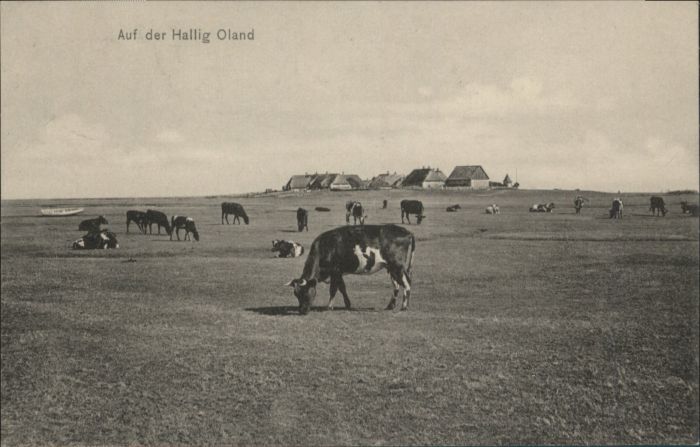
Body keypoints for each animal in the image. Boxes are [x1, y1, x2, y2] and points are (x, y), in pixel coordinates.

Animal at [286, 224, 415, 315]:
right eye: (296, 294)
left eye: (306, 292)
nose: (302, 311)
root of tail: (405, 231)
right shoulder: (338, 273)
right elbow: (342, 288)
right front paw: (347, 304)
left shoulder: (335, 271)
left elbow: (333, 289)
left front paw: (329, 307)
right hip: (391, 268)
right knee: (396, 285)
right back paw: (390, 306)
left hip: (398, 266)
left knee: (407, 283)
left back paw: (404, 307)